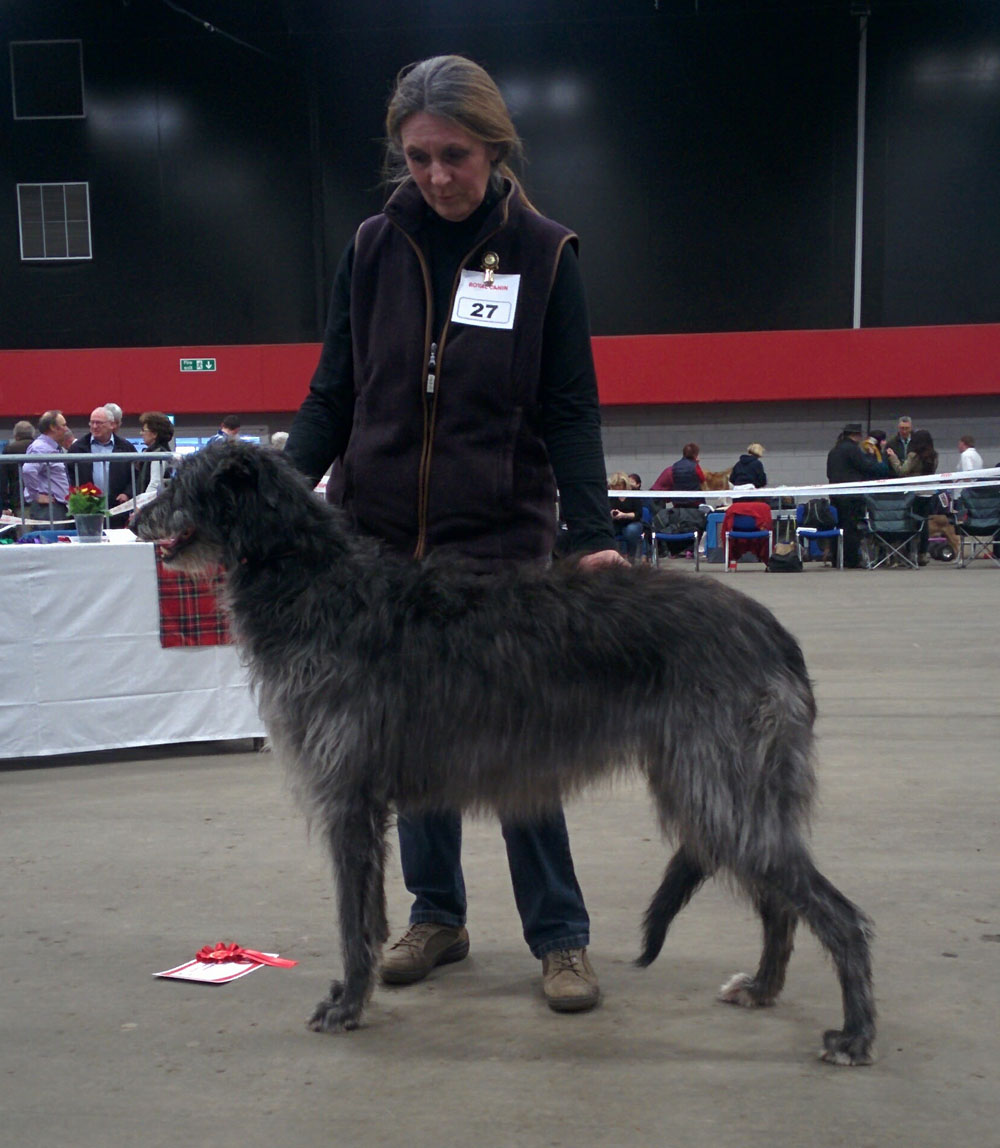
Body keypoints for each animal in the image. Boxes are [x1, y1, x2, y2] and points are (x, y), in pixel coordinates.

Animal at [134, 440, 877, 1065]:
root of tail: (773, 633)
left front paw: (347, 1005)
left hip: (716, 784)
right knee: (780, 901)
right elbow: (368, 914)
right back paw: (763, 987)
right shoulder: (366, 800)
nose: (135, 517)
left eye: (180, 482)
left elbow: (353, 920)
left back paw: (855, 1033)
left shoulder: (347, 795)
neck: (316, 584)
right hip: (724, 786)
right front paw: (358, 993)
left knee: (835, 912)